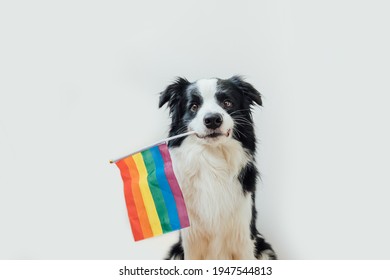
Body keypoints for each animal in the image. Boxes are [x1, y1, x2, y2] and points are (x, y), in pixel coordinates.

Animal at [159, 75, 278, 260]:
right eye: (194, 106)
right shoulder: (191, 239)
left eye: (227, 103)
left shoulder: (243, 234)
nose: (212, 120)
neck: (213, 159)